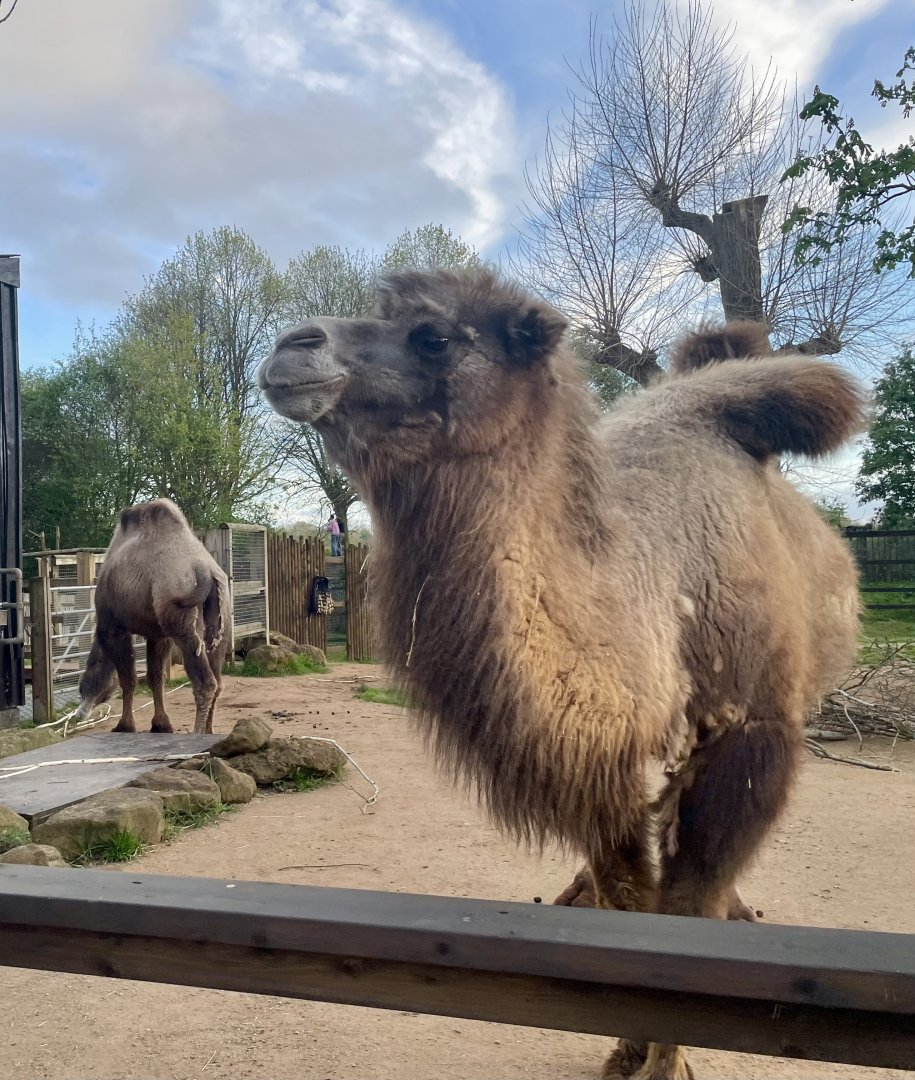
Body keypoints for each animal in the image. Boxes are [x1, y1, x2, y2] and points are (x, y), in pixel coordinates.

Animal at [76, 499, 230, 735]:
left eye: (91, 666)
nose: (79, 713)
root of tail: (206, 572)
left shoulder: (114, 627)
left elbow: (128, 679)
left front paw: (124, 726)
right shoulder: (158, 635)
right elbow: (155, 677)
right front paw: (161, 724)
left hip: (182, 622)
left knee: (205, 682)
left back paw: (196, 732)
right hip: (220, 622)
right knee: (219, 680)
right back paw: (209, 731)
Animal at [258, 269, 864, 1080]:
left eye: (434, 334)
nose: (292, 348)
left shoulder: (751, 733)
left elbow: (689, 910)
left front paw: (667, 1064)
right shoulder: (594, 770)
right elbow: (628, 900)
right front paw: (625, 1050)